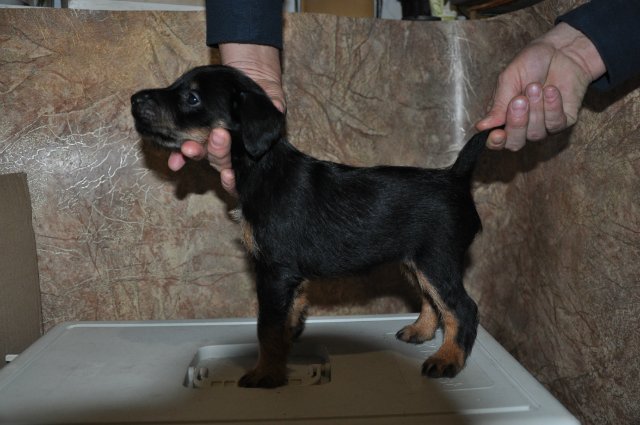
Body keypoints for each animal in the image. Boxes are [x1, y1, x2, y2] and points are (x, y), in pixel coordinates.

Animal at [131, 65, 491, 388]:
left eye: (192, 98)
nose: (135, 99)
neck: (263, 167)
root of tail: (455, 176)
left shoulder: (273, 271)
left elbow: (267, 327)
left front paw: (266, 373)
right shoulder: (287, 275)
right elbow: (287, 315)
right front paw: (287, 345)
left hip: (436, 259)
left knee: (463, 307)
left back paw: (447, 359)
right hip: (415, 261)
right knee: (433, 300)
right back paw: (420, 331)